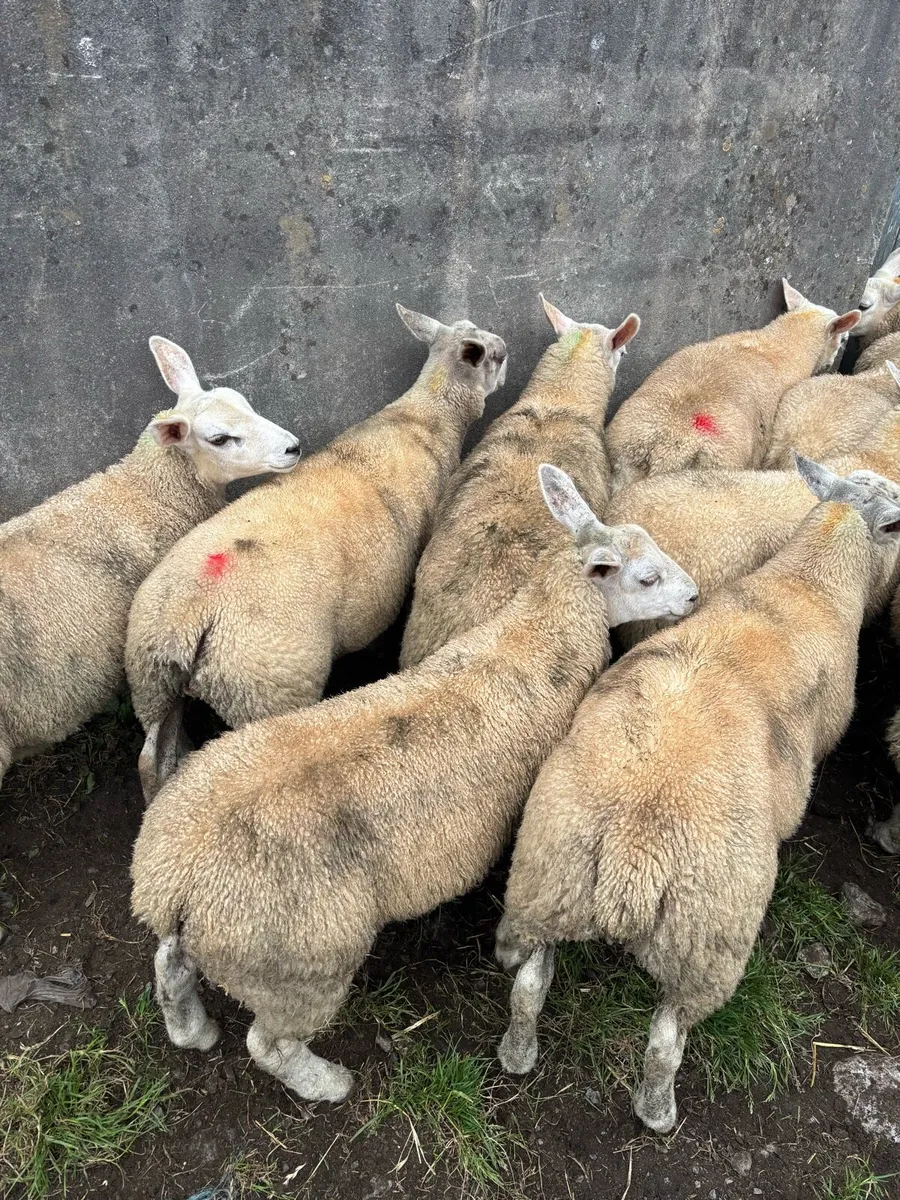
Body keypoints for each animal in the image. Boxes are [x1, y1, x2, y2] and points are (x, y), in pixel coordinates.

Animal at [126, 306, 508, 801]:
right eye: (497, 356)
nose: (507, 352)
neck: (425, 416)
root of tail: (189, 618)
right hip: (266, 687)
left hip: (152, 681)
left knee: (152, 759)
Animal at [130, 464, 698, 1103]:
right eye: (647, 577)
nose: (695, 596)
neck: (537, 633)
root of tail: (172, 879)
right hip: (297, 963)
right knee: (268, 1044)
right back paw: (328, 1082)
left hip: (216, 938)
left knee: (170, 967)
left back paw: (192, 1029)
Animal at [494, 458, 900, 1133]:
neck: (809, 583)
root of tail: (633, 857)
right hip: (706, 939)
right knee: (665, 1038)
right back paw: (657, 1111)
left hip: (546, 879)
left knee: (528, 986)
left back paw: (517, 1054)